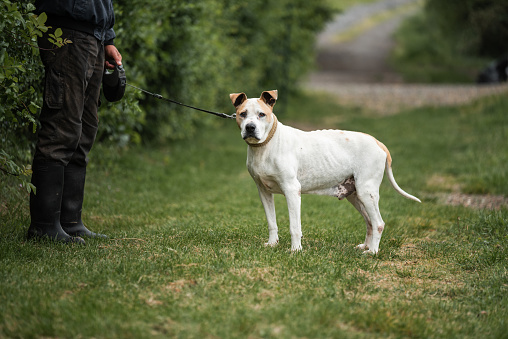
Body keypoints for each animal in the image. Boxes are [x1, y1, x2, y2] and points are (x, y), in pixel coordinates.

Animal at [230, 89, 420, 254]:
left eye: (261, 114)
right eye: (242, 114)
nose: (250, 127)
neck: (265, 146)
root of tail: (377, 142)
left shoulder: (292, 191)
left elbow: (294, 226)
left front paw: (296, 250)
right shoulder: (264, 192)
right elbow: (272, 222)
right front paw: (272, 244)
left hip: (367, 193)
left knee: (378, 223)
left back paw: (372, 252)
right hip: (356, 195)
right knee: (370, 222)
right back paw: (365, 247)